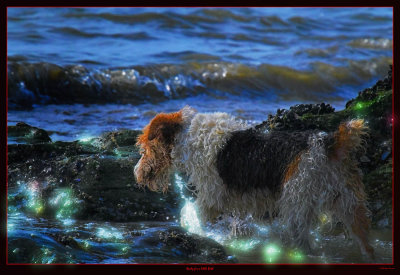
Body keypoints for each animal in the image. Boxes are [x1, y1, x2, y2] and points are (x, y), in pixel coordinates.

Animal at [134, 105, 376, 258]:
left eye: (144, 149)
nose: (136, 173)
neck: (189, 136)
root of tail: (329, 144)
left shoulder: (212, 197)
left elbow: (194, 214)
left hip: (298, 206)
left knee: (304, 244)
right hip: (350, 204)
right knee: (366, 243)